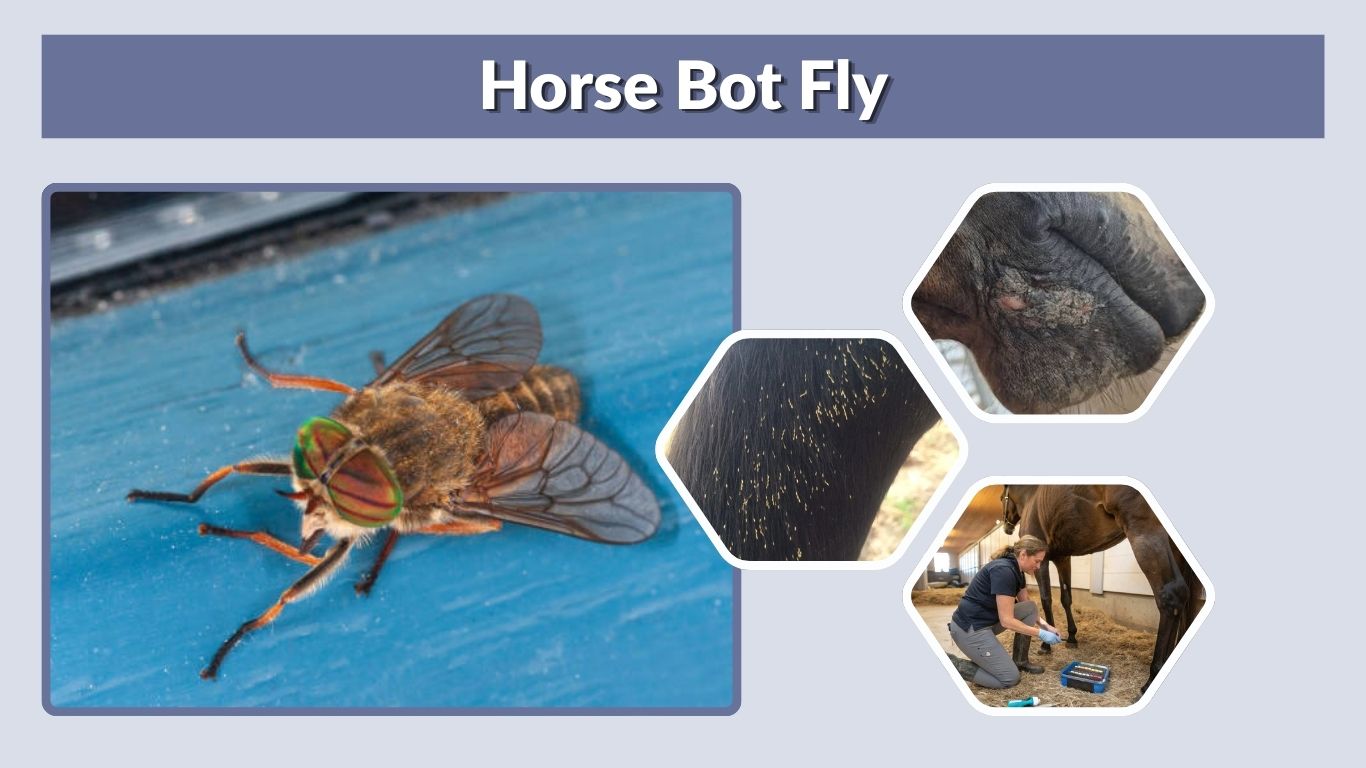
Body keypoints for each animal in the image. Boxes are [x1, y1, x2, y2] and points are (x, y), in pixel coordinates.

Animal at [1001, 484, 1200, 692]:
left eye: (1001, 498)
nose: (1006, 526)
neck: (1030, 498)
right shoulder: (1063, 558)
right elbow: (1066, 598)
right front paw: (1072, 637)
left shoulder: (1044, 561)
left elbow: (1046, 599)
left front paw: (1046, 645)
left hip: (1143, 530)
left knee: (1171, 595)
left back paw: (1152, 676)